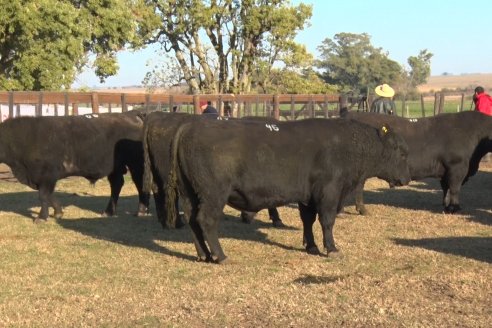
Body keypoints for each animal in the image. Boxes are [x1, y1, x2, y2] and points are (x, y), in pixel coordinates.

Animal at [0, 111, 150, 223]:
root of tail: (131, 114)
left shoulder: (48, 175)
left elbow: (43, 195)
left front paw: (42, 217)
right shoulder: (42, 178)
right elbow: (49, 195)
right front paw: (58, 212)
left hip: (135, 163)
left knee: (139, 183)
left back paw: (141, 211)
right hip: (115, 166)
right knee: (117, 184)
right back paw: (108, 212)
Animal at [165, 116, 412, 262]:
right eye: (401, 151)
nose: (407, 178)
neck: (346, 145)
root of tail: (190, 126)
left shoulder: (307, 196)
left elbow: (308, 220)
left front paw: (311, 246)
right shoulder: (329, 192)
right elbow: (327, 221)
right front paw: (331, 248)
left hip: (190, 194)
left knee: (192, 220)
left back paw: (204, 255)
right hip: (214, 194)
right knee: (205, 220)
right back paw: (220, 255)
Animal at [344, 110, 492, 213]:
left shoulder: (447, 170)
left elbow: (446, 188)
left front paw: (446, 205)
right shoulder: (457, 167)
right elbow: (455, 188)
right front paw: (454, 208)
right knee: (358, 188)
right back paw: (362, 209)